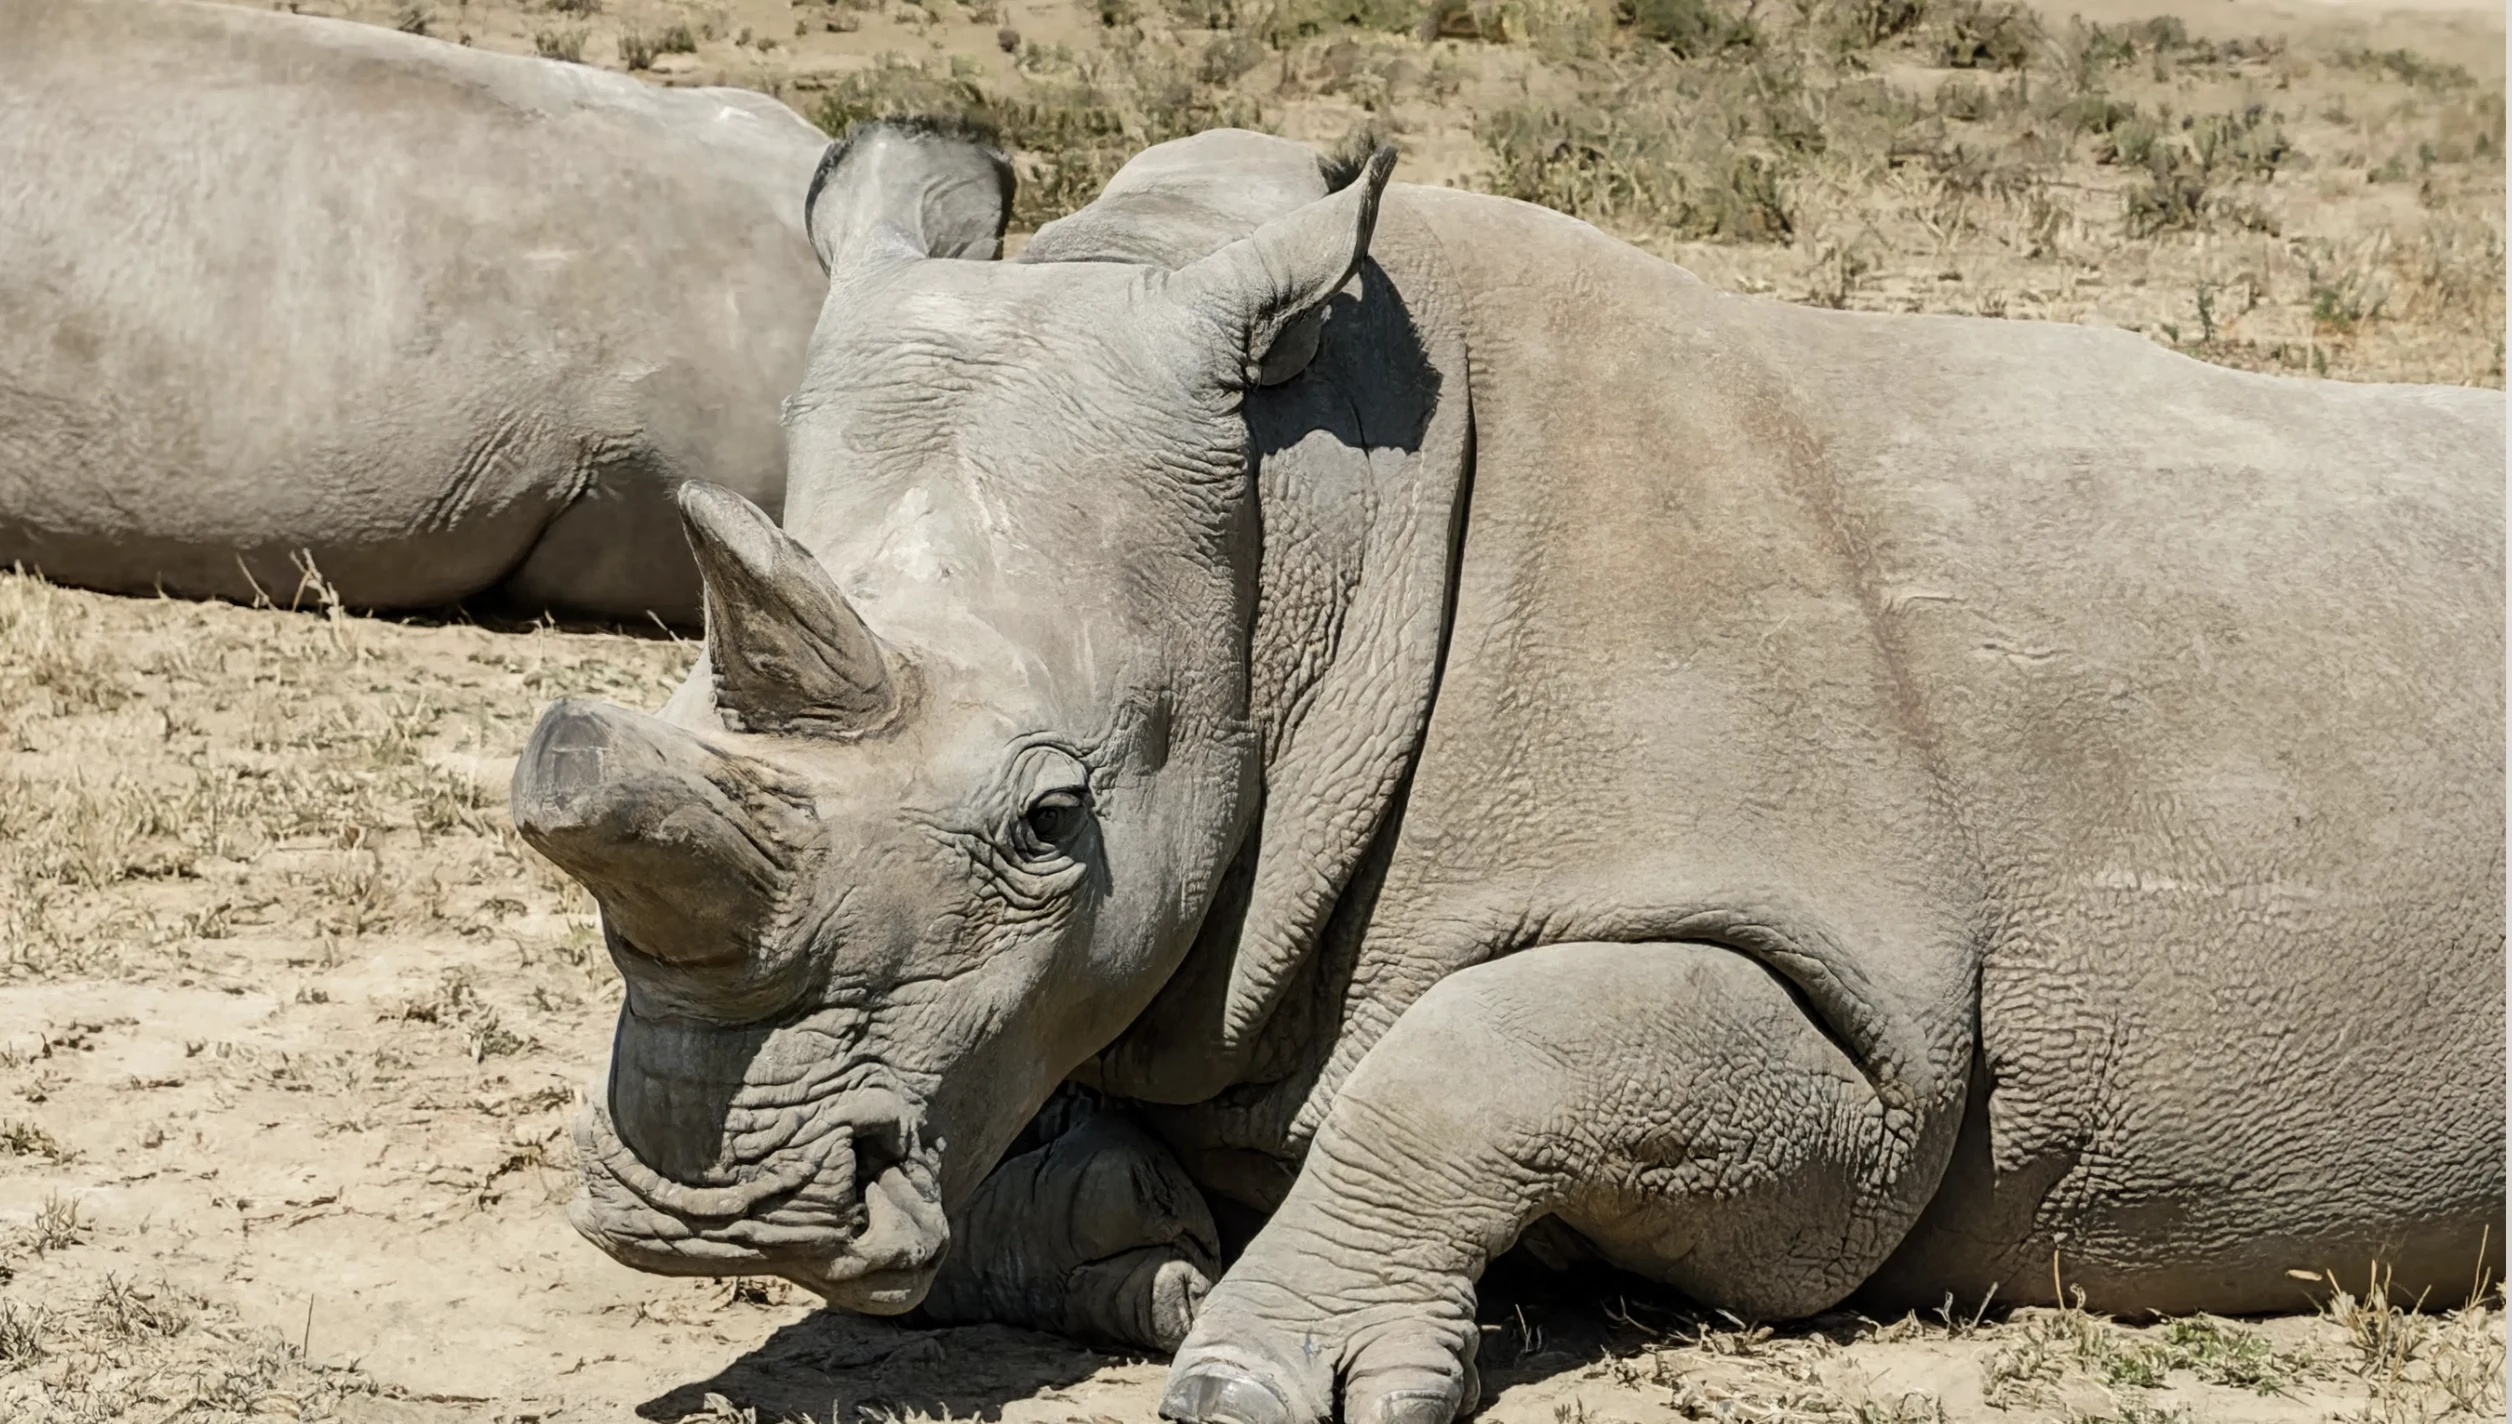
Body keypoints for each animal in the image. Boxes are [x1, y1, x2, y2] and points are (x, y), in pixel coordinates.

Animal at [513, 122, 2506, 1422]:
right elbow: (1047, 1064)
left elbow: (1483, 1058)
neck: (1318, 540)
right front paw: (1146, 1254)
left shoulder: (1861, 1042)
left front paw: (1263, 1369)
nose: (707, 1211)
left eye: (1053, 821)